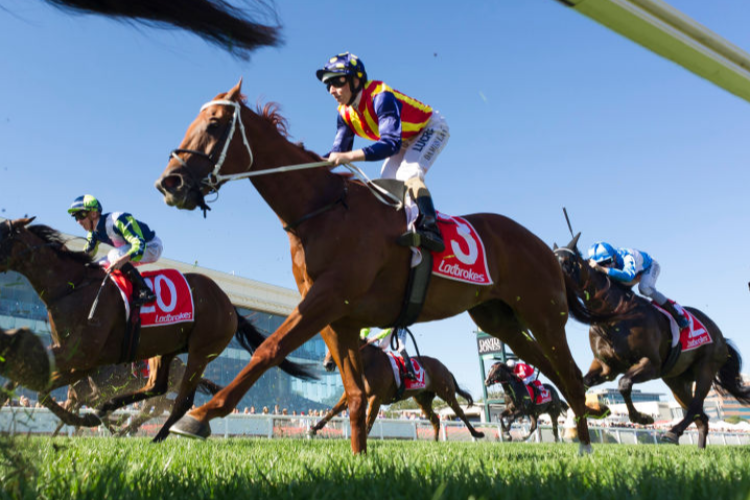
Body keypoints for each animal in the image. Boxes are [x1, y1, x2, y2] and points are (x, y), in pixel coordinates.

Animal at [0, 219, 314, 442]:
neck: (73, 287)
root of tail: (228, 304)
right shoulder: (68, 356)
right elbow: (27, 385)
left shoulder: (81, 357)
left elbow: (41, 390)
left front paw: (90, 421)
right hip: (165, 350)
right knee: (156, 390)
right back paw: (114, 412)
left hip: (200, 351)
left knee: (179, 400)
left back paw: (159, 435)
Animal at [312, 340, 488, 442]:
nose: (327, 364)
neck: (368, 363)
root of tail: (444, 367)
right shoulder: (351, 396)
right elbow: (333, 411)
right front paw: (314, 428)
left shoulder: (375, 398)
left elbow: (369, 421)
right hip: (423, 400)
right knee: (436, 420)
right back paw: (435, 442)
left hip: (446, 392)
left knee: (460, 413)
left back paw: (477, 433)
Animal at [556, 234, 748, 450]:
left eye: (566, 262)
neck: (612, 316)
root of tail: (721, 336)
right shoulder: (606, 367)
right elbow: (582, 384)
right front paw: (593, 413)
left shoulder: (651, 364)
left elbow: (624, 384)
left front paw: (642, 418)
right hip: (677, 381)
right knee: (701, 416)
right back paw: (698, 447)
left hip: (706, 368)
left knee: (696, 407)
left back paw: (672, 432)